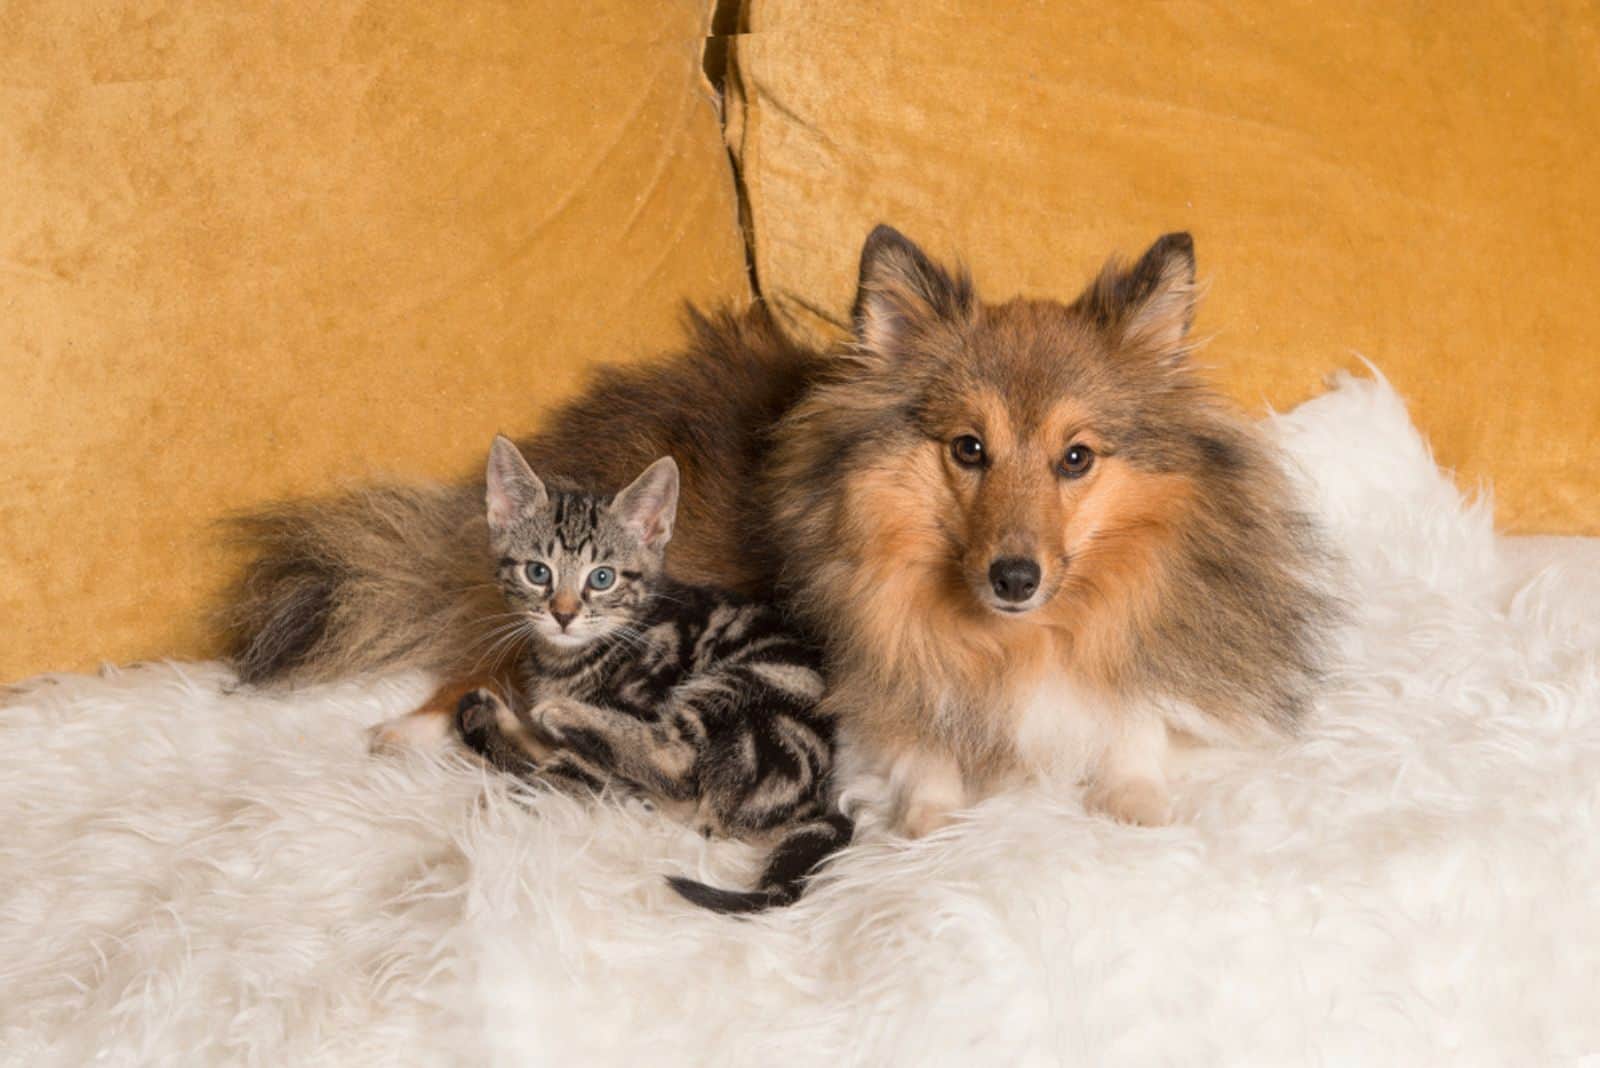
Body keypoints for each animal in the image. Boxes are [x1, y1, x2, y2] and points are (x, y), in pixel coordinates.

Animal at [451, 438, 851, 914]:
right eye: (538, 572)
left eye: (602, 578)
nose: (563, 615)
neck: (572, 658)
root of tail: (816, 799)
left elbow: (567, 772)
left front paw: (493, 810)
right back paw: (490, 715)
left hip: (748, 680)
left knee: (676, 761)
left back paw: (559, 716)